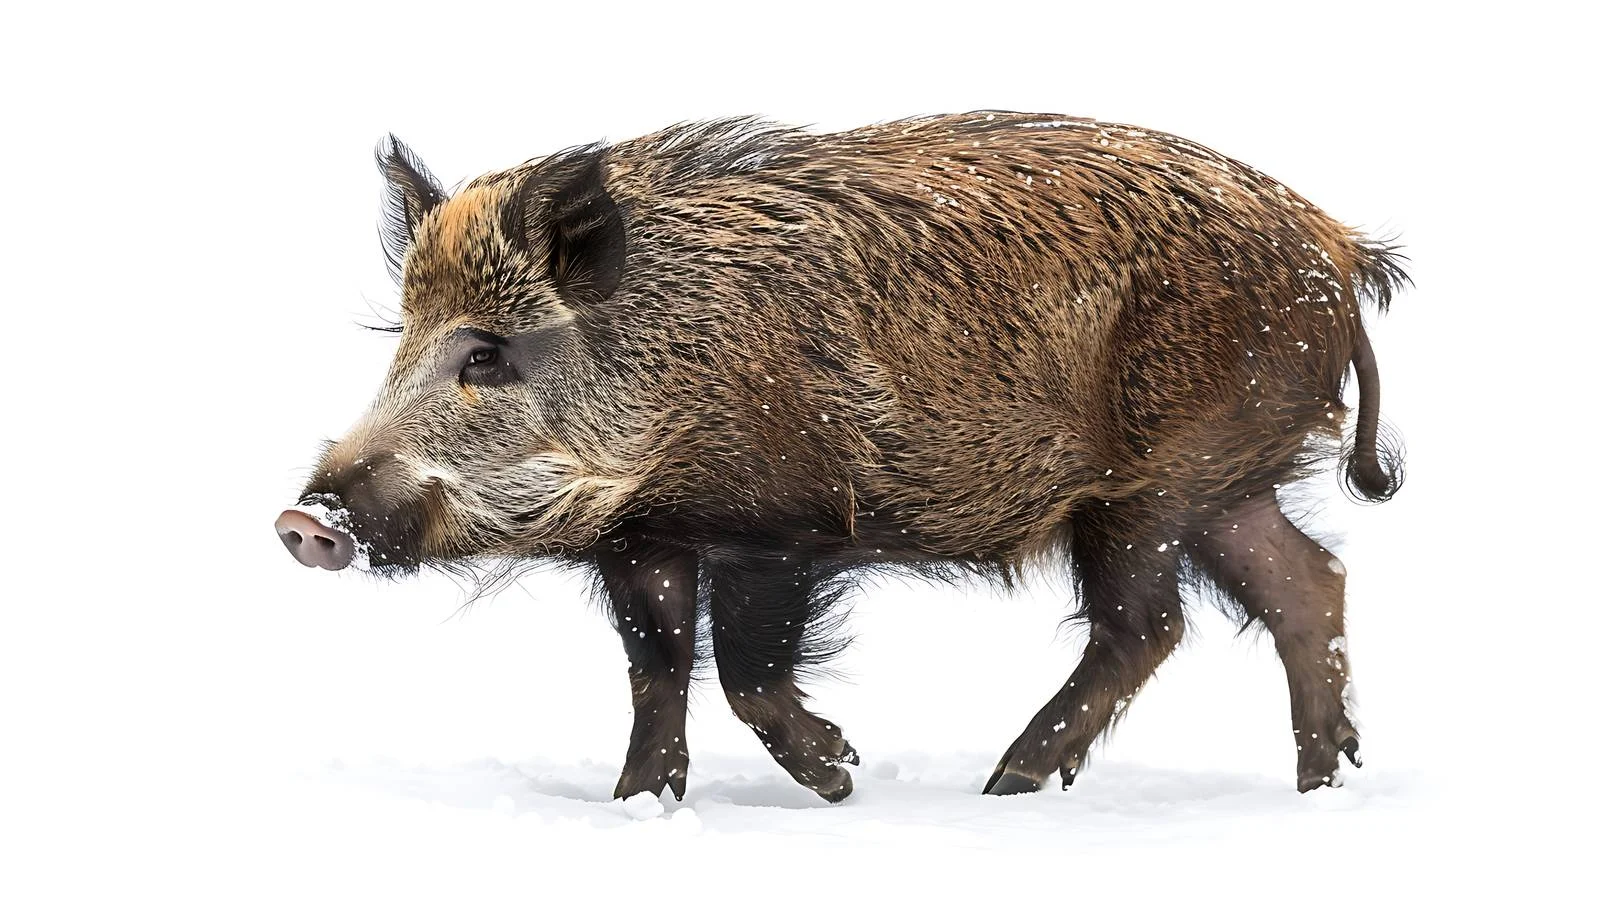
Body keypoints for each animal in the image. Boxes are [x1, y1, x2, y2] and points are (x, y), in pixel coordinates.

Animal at [276, 112, 1406, 803]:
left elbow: (743, 670)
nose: (302, 521)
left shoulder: (781, 527)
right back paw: (1321, 783)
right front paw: (638, 804)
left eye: (487, 353)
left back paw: (1006, 784)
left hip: (1149, 484)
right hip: (1220, 485)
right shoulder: (644, 538)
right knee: (1310, 582)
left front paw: (842, 775)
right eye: (402, 342)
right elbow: (656, 667)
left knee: (1149, 625)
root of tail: (1338, 253)